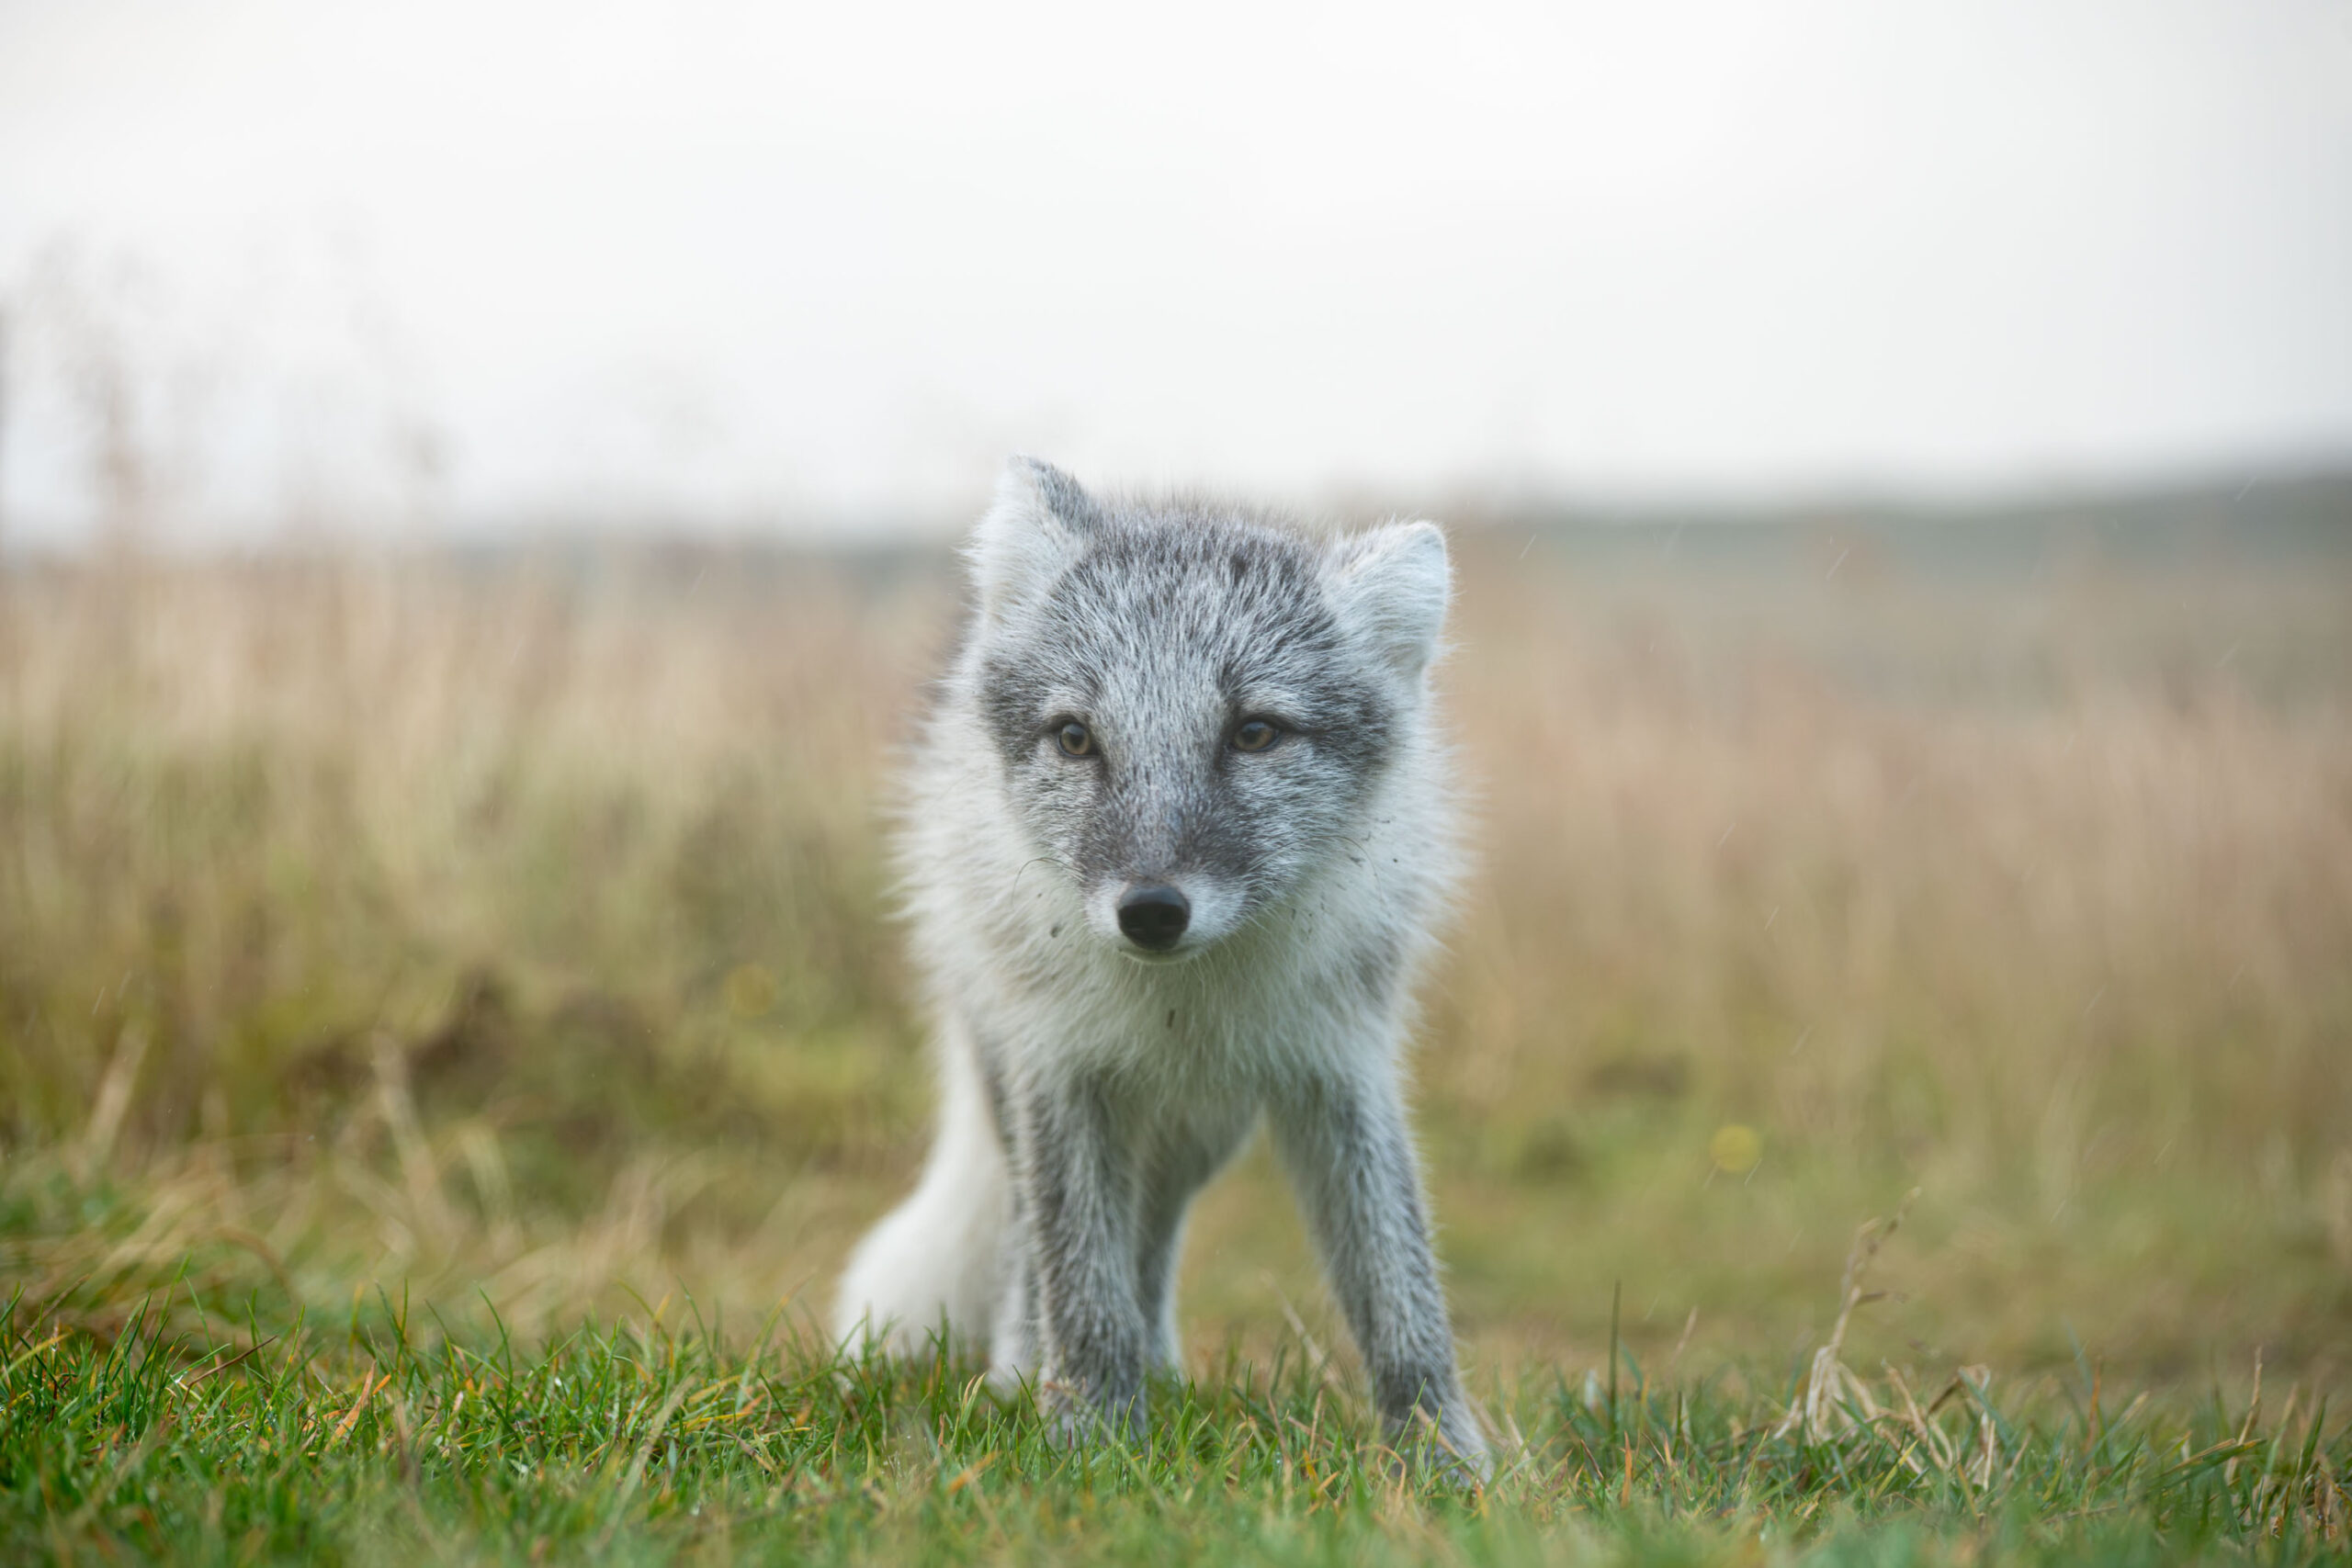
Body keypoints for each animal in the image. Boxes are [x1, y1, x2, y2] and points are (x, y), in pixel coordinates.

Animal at [834, 457, 1489, 1472]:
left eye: (1254, 733)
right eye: (1076, 738)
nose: (1149, 911)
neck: (1182, 998)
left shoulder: (1339, 1065)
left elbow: (1402, 1295)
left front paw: (1442, 1460)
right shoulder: (1059, 1066)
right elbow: (1079, 1284)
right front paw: (1091, 1438)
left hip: (1202, 1129)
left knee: (1152, 1233)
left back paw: (1162, 1371)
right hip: (1016, 1082)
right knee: (1032, 1244)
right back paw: (1024, 1370)